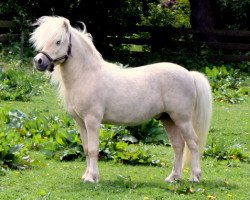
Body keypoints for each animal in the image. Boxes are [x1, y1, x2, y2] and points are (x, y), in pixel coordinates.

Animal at [30, 16, 212, 184]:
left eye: (58, 41)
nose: (39, 61)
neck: (86, 75)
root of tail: (189, 74)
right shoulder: (80, 122)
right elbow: (87, 148)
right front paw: (87, 175)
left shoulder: (92, 121)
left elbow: (94, 149)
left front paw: (91, 178)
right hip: (168, 119)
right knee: (179, 145)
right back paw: (173, 177)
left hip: (182, 120)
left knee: (193, 143)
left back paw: (195, 176)